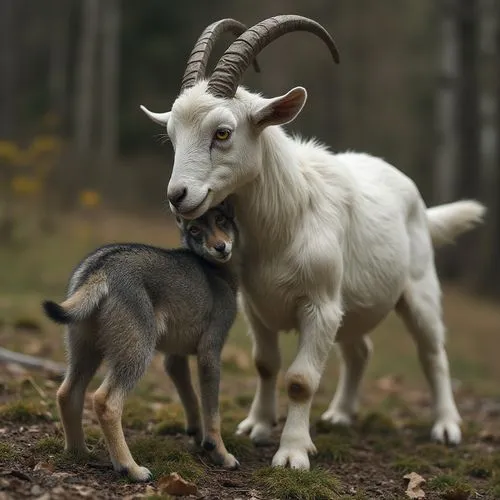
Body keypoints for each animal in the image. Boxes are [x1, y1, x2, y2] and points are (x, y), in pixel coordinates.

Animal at [141, 15, 484, 468]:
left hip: (419, 288)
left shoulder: (319, 305)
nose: (178, 196)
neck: (288, 217)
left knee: (432, 353)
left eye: (222, 133)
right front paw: (257, 426)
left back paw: (446, 427)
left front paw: (291, 453)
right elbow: (265, 364)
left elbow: (301, 379)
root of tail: (421, 206)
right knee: (360, 351)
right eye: (173, 136)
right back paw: (340, 415)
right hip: (353, 303)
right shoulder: (256, 306)